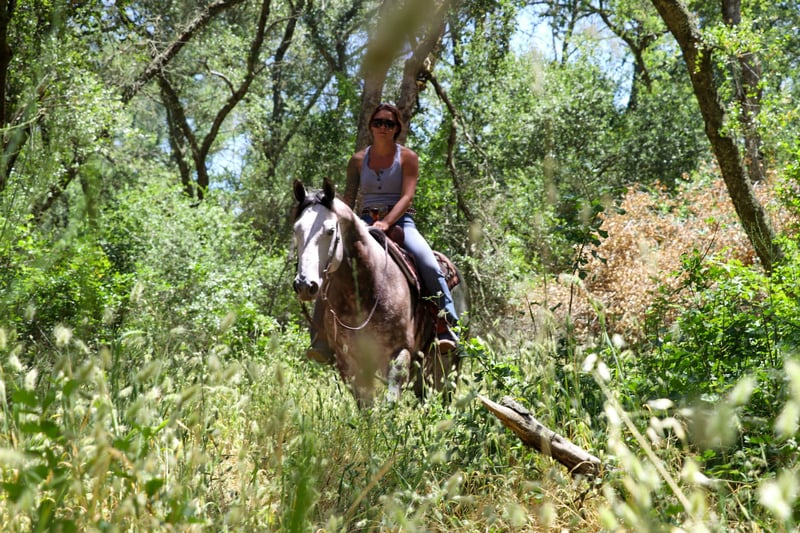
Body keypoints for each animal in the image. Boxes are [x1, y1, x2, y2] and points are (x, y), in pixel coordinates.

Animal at [291, 178, 466, 407]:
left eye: (330, 231)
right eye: (296, 230)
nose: (304, 284)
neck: (362, 292)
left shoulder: (400, 353)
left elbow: (390, 401)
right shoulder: (349, 361)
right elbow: (366, 404)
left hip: (447, 363)